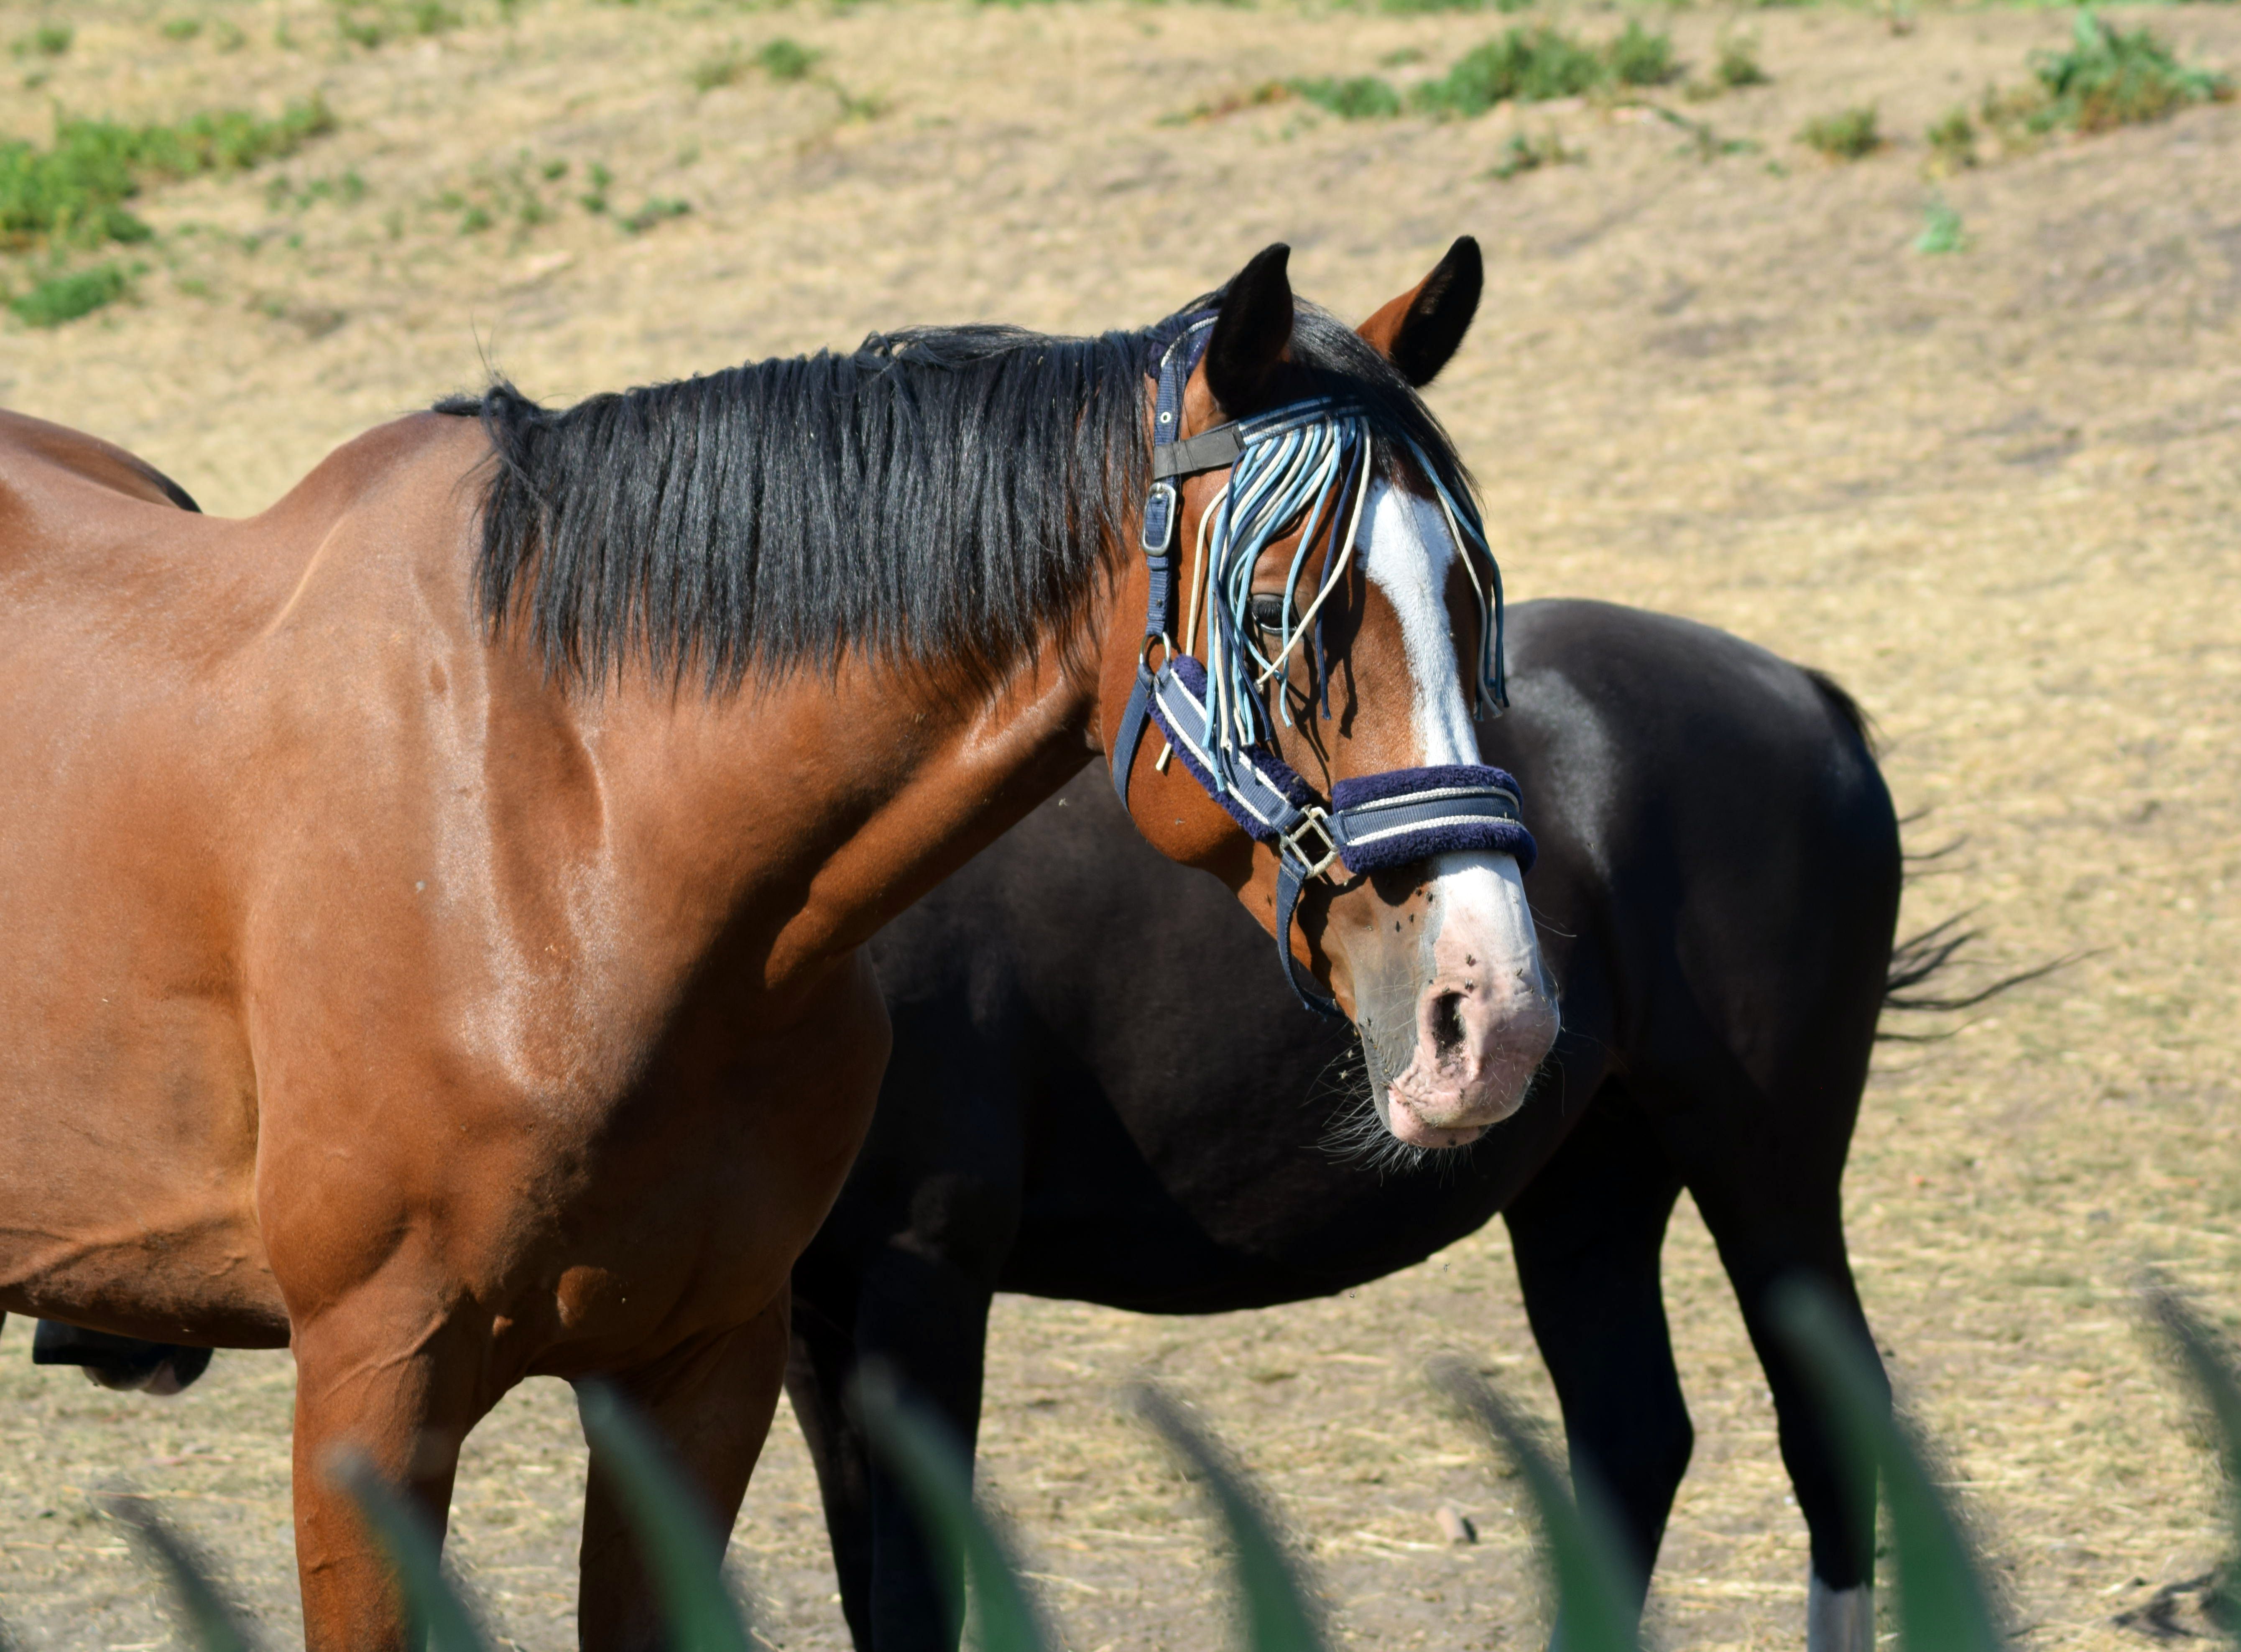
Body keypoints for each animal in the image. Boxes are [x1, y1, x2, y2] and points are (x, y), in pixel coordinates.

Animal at [0, 238, 1559, 1649]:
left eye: (1471, 601)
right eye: (1283, 617)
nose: (1494, 1015)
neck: (566, 840)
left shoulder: (700, 1367)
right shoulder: (374, 1382)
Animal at [783, 599, 1903, 1652]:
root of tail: (1799, 692)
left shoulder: (926, 1276)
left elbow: (909, 1598)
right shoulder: (807, 1311)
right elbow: (858, 1581)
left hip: (1764, 1165)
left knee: (1827, 1433)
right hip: (1588, 1181)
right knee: (1632, 1438)